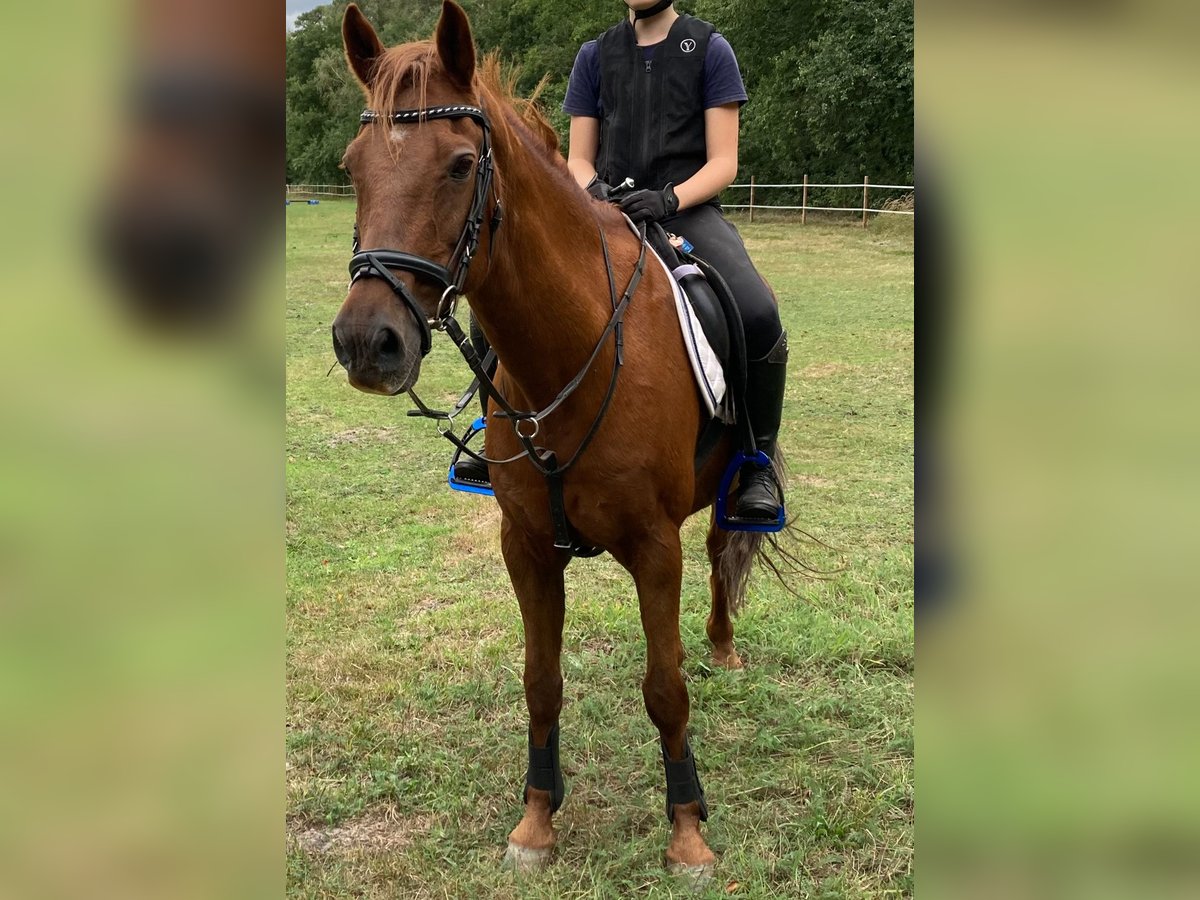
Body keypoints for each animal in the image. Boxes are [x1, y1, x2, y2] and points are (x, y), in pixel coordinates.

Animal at [330, 0, 790, 877]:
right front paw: (537, 820)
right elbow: (540, 681)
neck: (572, 347)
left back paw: (722, 646)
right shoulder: (528, 545)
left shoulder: (654, 546)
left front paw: (687, 829)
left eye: (460, 165)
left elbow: (665, 688)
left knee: (724, 544)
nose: (367, 343)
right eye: (352, 167)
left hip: (727, 482)